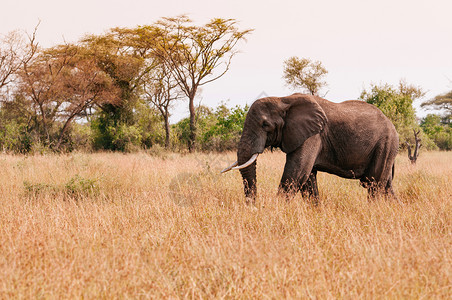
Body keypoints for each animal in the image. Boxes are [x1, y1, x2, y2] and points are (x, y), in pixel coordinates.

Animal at [221, 92, 398, 203]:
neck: (282, 100)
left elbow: (296, 173)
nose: (254, 206)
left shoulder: (313, 136)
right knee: (386, 186)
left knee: (374, 184)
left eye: (265, 125)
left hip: (385, 144)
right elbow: (307, 179)